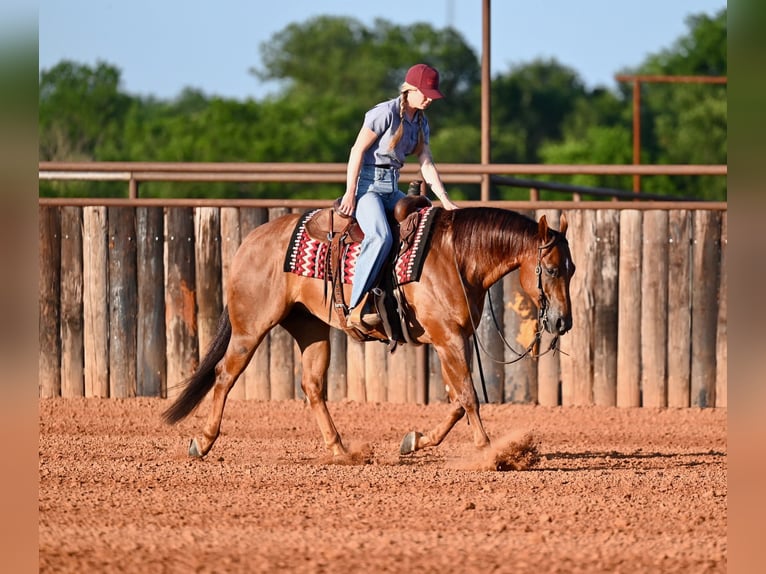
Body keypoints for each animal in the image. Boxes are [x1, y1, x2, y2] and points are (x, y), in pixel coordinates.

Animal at [163, 205, 575, 460]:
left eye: (571, 270)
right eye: (553, 269)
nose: (562, 322)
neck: (456, 256)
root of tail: (250, 241)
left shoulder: (454, 340)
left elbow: (457, 400)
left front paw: (415, 441)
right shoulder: (448, 339)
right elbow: (469, 397)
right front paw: (490, 452)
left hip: (310, 328)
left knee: (312, 386)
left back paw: (342, 451)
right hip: (251, 327)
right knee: (224, 375)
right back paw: (202, 443)